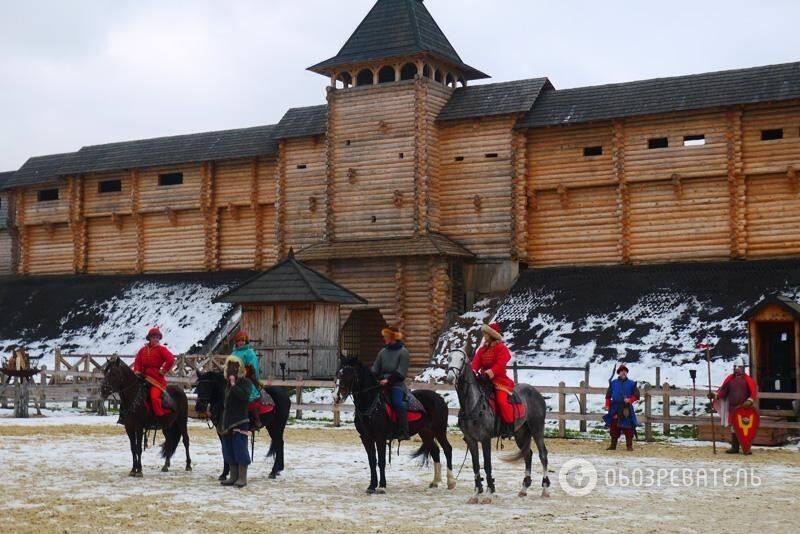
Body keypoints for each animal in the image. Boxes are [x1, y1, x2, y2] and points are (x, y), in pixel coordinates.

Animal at [334, 358, 454, 496]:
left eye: (348, 376)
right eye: (337, 375)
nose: (336, 397)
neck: (371, 405)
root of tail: (439, 398)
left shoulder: (380, 437)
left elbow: (381, 461)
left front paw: (382, 486)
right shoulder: (366, 438)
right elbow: (372, 461)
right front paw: (371, 486)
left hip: (439, 430)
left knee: (447, 449)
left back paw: (451, 482)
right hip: (426, 432)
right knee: (435, 450)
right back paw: (435, 482)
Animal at [444, 350, 552, 504]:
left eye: (461, 359)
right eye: (448, 358)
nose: (450, 377)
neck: (473, 404)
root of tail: (536, 392)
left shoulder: (485, 439)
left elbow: (487, 465)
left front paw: (489, 493)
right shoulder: (471, 440)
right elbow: (476, 465)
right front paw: (476, 493)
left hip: (537, 429)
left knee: (543, 455)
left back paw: (545, 489)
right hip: (520, 433)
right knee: (528, 454)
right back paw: (524, 488)